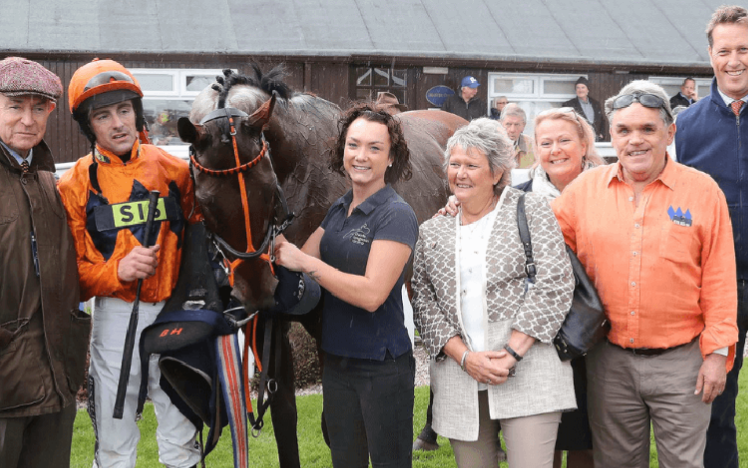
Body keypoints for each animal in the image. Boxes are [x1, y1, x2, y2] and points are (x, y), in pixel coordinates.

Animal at [178, 66, 464, 468]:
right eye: (204, 200)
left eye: (268, 187)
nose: (259, 287)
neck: (303, 169)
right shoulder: (269, 327)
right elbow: (284, 417)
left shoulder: (328, 324)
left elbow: (336, 425)